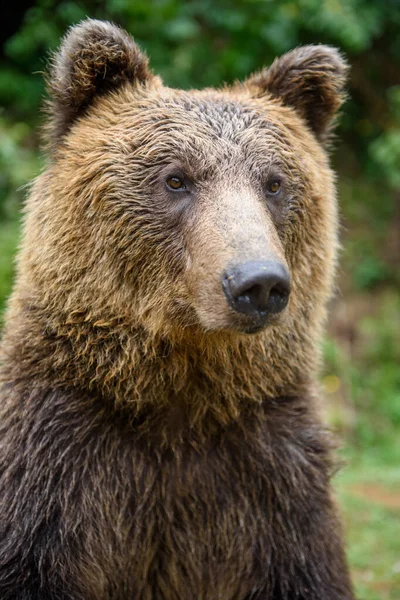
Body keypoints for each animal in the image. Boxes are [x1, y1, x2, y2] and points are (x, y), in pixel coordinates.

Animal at [1, 18, 354, 600]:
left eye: (274, 183)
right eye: (176, 178)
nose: (257, 283)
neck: (178, 397)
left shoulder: (274, 484)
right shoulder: (51, 469)